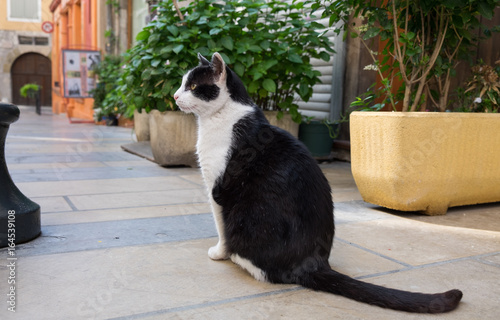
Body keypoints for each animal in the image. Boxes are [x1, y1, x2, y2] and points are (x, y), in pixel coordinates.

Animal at [174, 52, 462, 312]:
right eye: (182, 84)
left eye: (193, 87)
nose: (175, 96)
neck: (223, 118)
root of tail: (313, 263)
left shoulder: (218, 188)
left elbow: (220, 228)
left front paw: (219, 253)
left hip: (245, 215)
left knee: (261, 267)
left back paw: (236, 257)